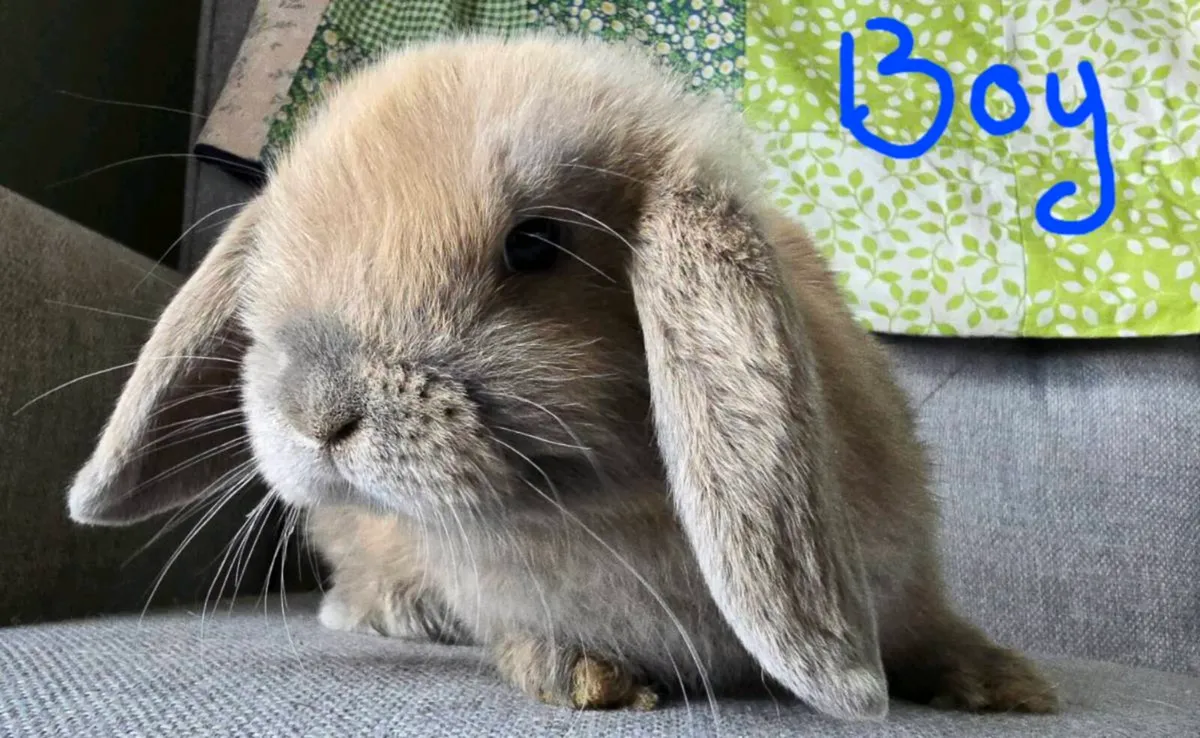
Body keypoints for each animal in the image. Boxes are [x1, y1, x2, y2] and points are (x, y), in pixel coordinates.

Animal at [65, 34, 1057, 720]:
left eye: (536, 244)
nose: (317, 413)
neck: (606, 513)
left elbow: (932, 632)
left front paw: (1007, 684)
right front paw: (586, 678)